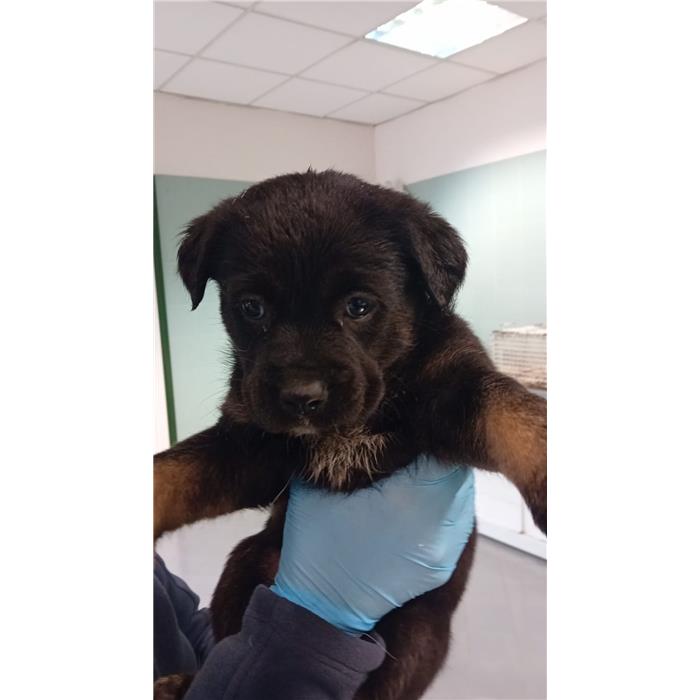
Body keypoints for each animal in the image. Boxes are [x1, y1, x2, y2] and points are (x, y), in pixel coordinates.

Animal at [154, 169, 547, 700]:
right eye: (252, 308)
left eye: (359, 306)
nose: (301, 397)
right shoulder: (252, 445)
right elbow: (175, 470)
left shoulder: (457, 387)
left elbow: (511, 409)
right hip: (244, 566)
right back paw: (181, 683)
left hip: (419, 634)